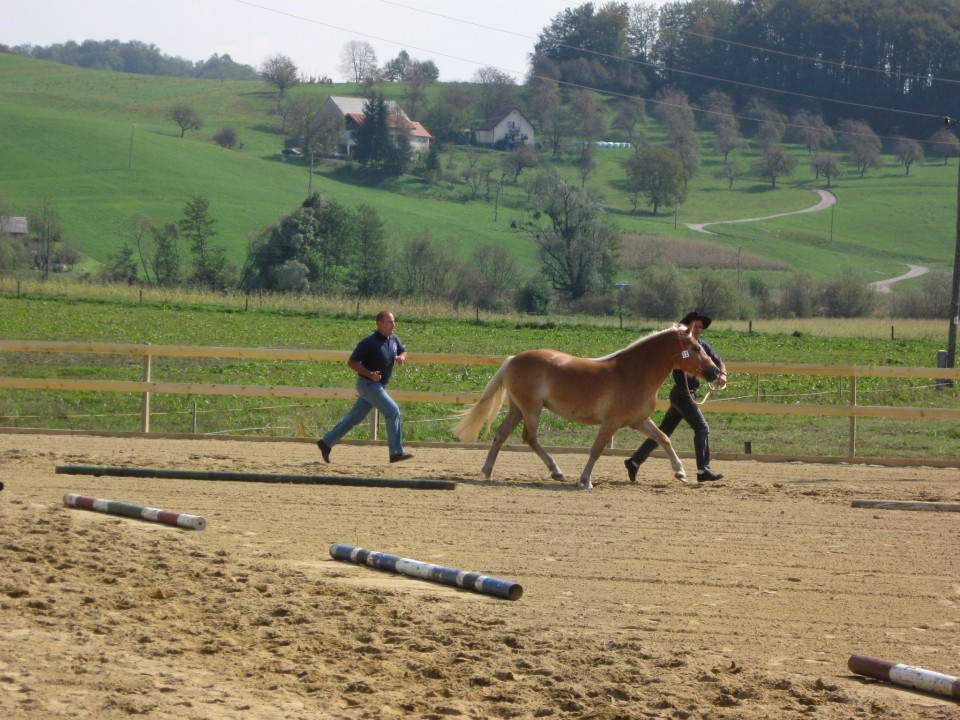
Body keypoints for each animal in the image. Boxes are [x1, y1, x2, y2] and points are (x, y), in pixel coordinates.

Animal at [452, 324, 720, 490]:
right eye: (696, 347)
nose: (715, 372)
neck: (634, 372)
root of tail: (512, 360)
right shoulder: (611, 423)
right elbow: (596, 450)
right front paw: (585, 480)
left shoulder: (639, 421)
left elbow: (663, 438)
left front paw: (680, 473)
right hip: (531, 409)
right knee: (529, 437)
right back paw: (556, 471)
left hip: (518, 408)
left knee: (501, 435)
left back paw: (488, 472)